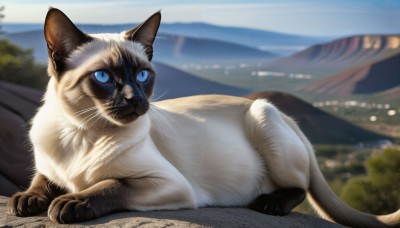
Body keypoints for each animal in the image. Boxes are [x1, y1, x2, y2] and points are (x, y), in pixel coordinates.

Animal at [6, 7, 400, 228]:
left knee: (300, 187)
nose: (135, 100)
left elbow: (108, 185)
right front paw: (26, 201)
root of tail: (290, 120)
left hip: (262, 115)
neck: (80, 131)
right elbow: (40, 181)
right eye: (103, 77)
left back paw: (267, 203)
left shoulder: (166, 183)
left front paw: (70, 204)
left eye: (143, 74)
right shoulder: (50, 168)